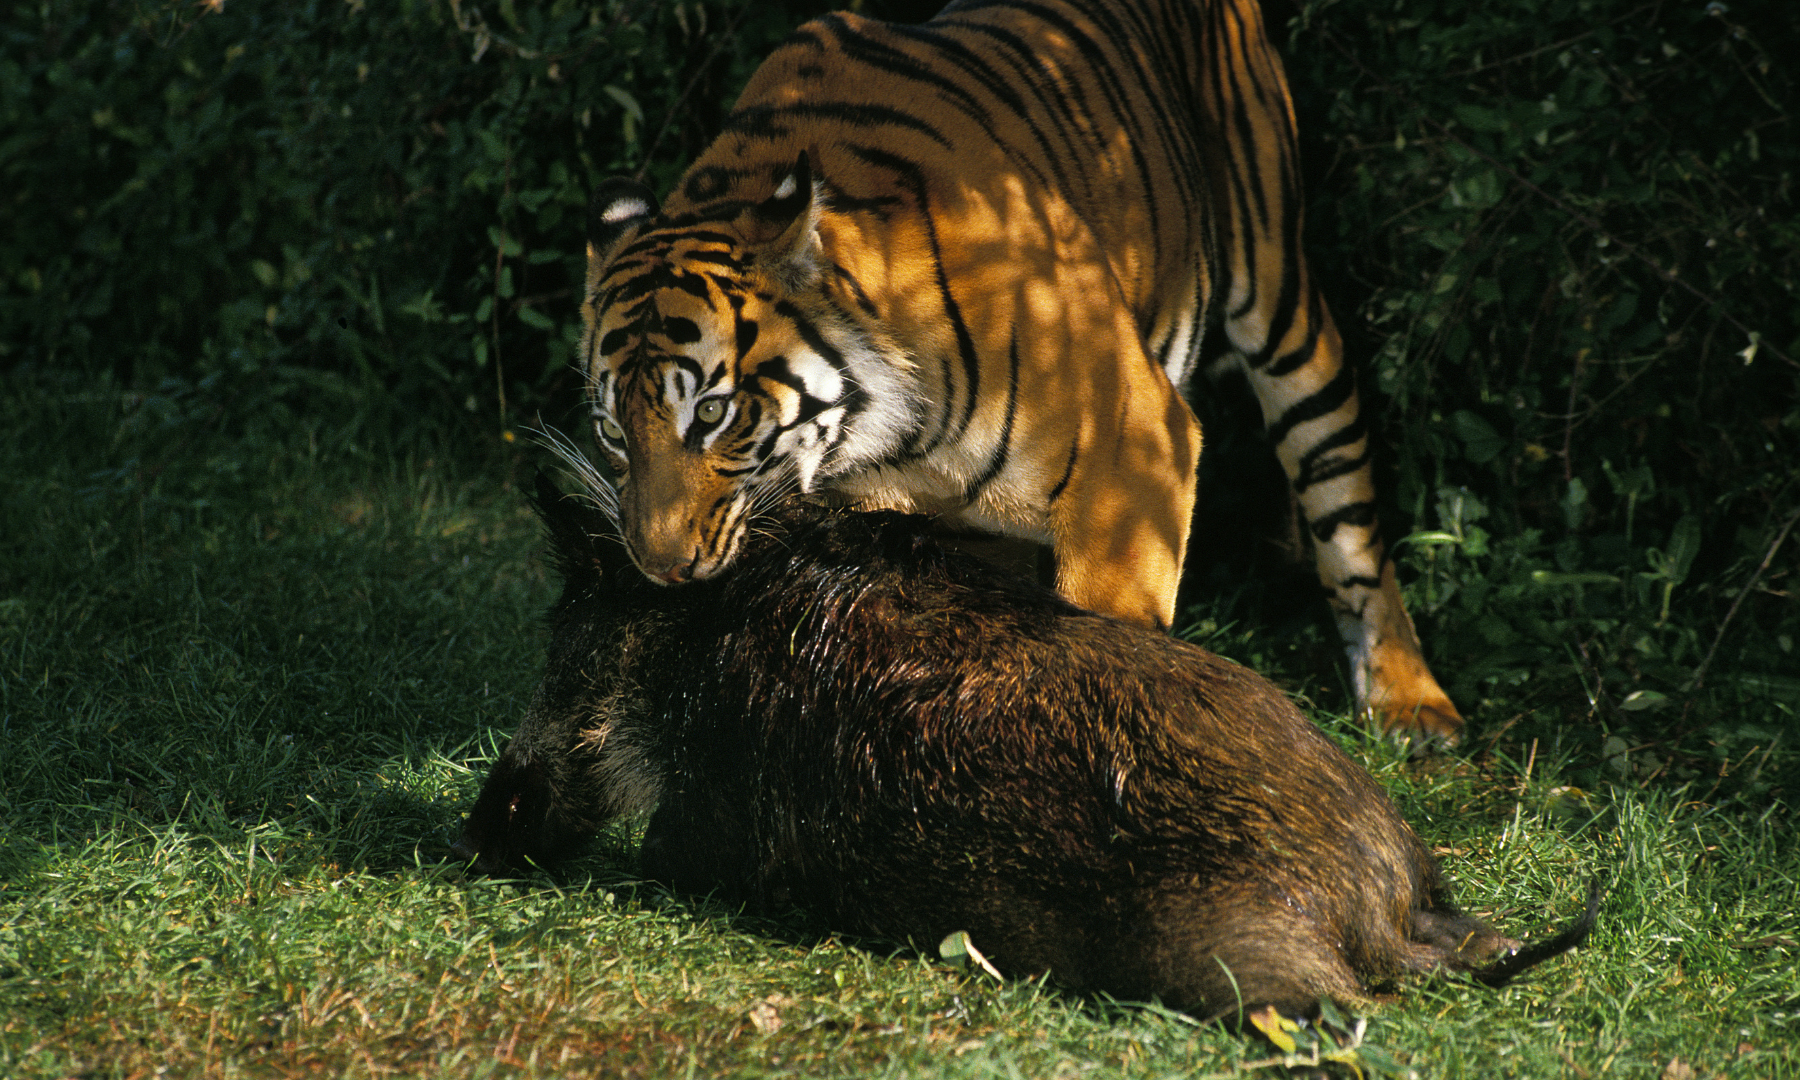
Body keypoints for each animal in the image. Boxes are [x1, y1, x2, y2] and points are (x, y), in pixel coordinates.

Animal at [576, 0, 1461, 741]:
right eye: (614, 431)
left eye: (712, 413)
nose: (659, 567)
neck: (883, 438)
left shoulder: (1135, 458)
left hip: (1279, 295)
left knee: (1345, 499)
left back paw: (1411, 704)